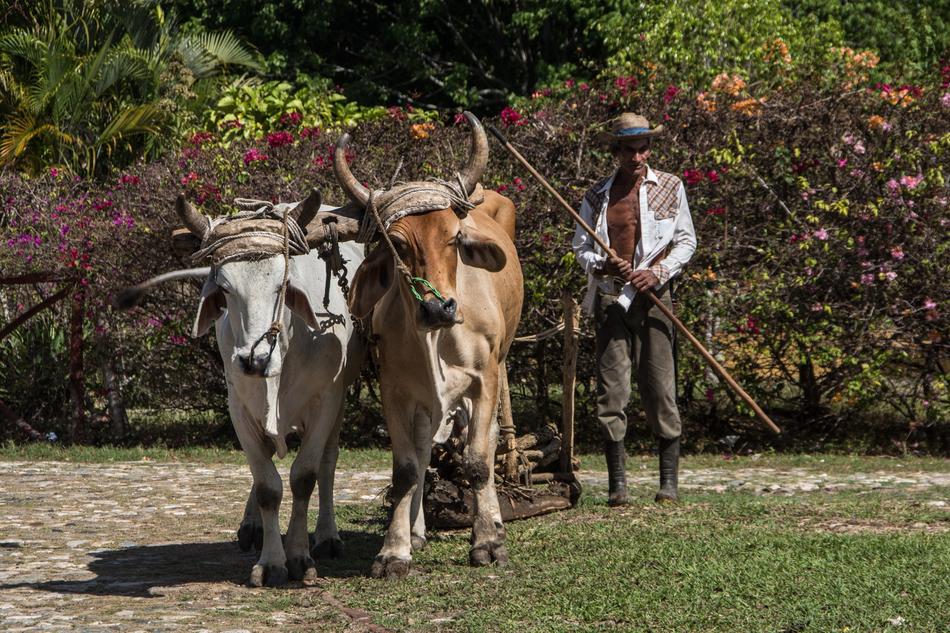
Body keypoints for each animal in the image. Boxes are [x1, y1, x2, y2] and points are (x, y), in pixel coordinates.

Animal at [118, 191, 364, 586]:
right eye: (225, 289)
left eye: (283, 286)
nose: (255, 360)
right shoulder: (239, 406)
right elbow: (267, 486)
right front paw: (272, 562)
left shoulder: (326, 400)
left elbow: (304, 477)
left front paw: (300, 557)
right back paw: (253, 526)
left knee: (328, 463)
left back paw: (327, 535)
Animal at [333, 112, 523, 578]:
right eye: (399, 243)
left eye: (455, 237)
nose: (439, 307)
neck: (436, 338)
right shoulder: (396, 390)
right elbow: (405, 468)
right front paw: (393, 550)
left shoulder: (484, 381)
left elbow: (477, 461)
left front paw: (487, 542)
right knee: (422, 451)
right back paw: (417, 531)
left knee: (490, 443)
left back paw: (492, 522)